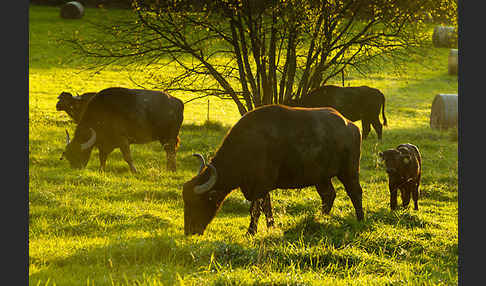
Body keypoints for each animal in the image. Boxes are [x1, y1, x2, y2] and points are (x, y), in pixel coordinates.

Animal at [182, 104, 364, 236]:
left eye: (197, 202)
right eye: (186, 202)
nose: (190, 231)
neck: (246, 147)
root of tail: (351, 126)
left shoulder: (260, 185)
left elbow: (255, 210)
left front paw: (250, 232)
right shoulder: (261, 188)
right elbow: (266, 207)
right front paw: (271, 227)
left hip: (349, 170)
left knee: (355, 192)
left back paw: (360, 219)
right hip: (321, 177)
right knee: (329, 195)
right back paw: (321, 218)